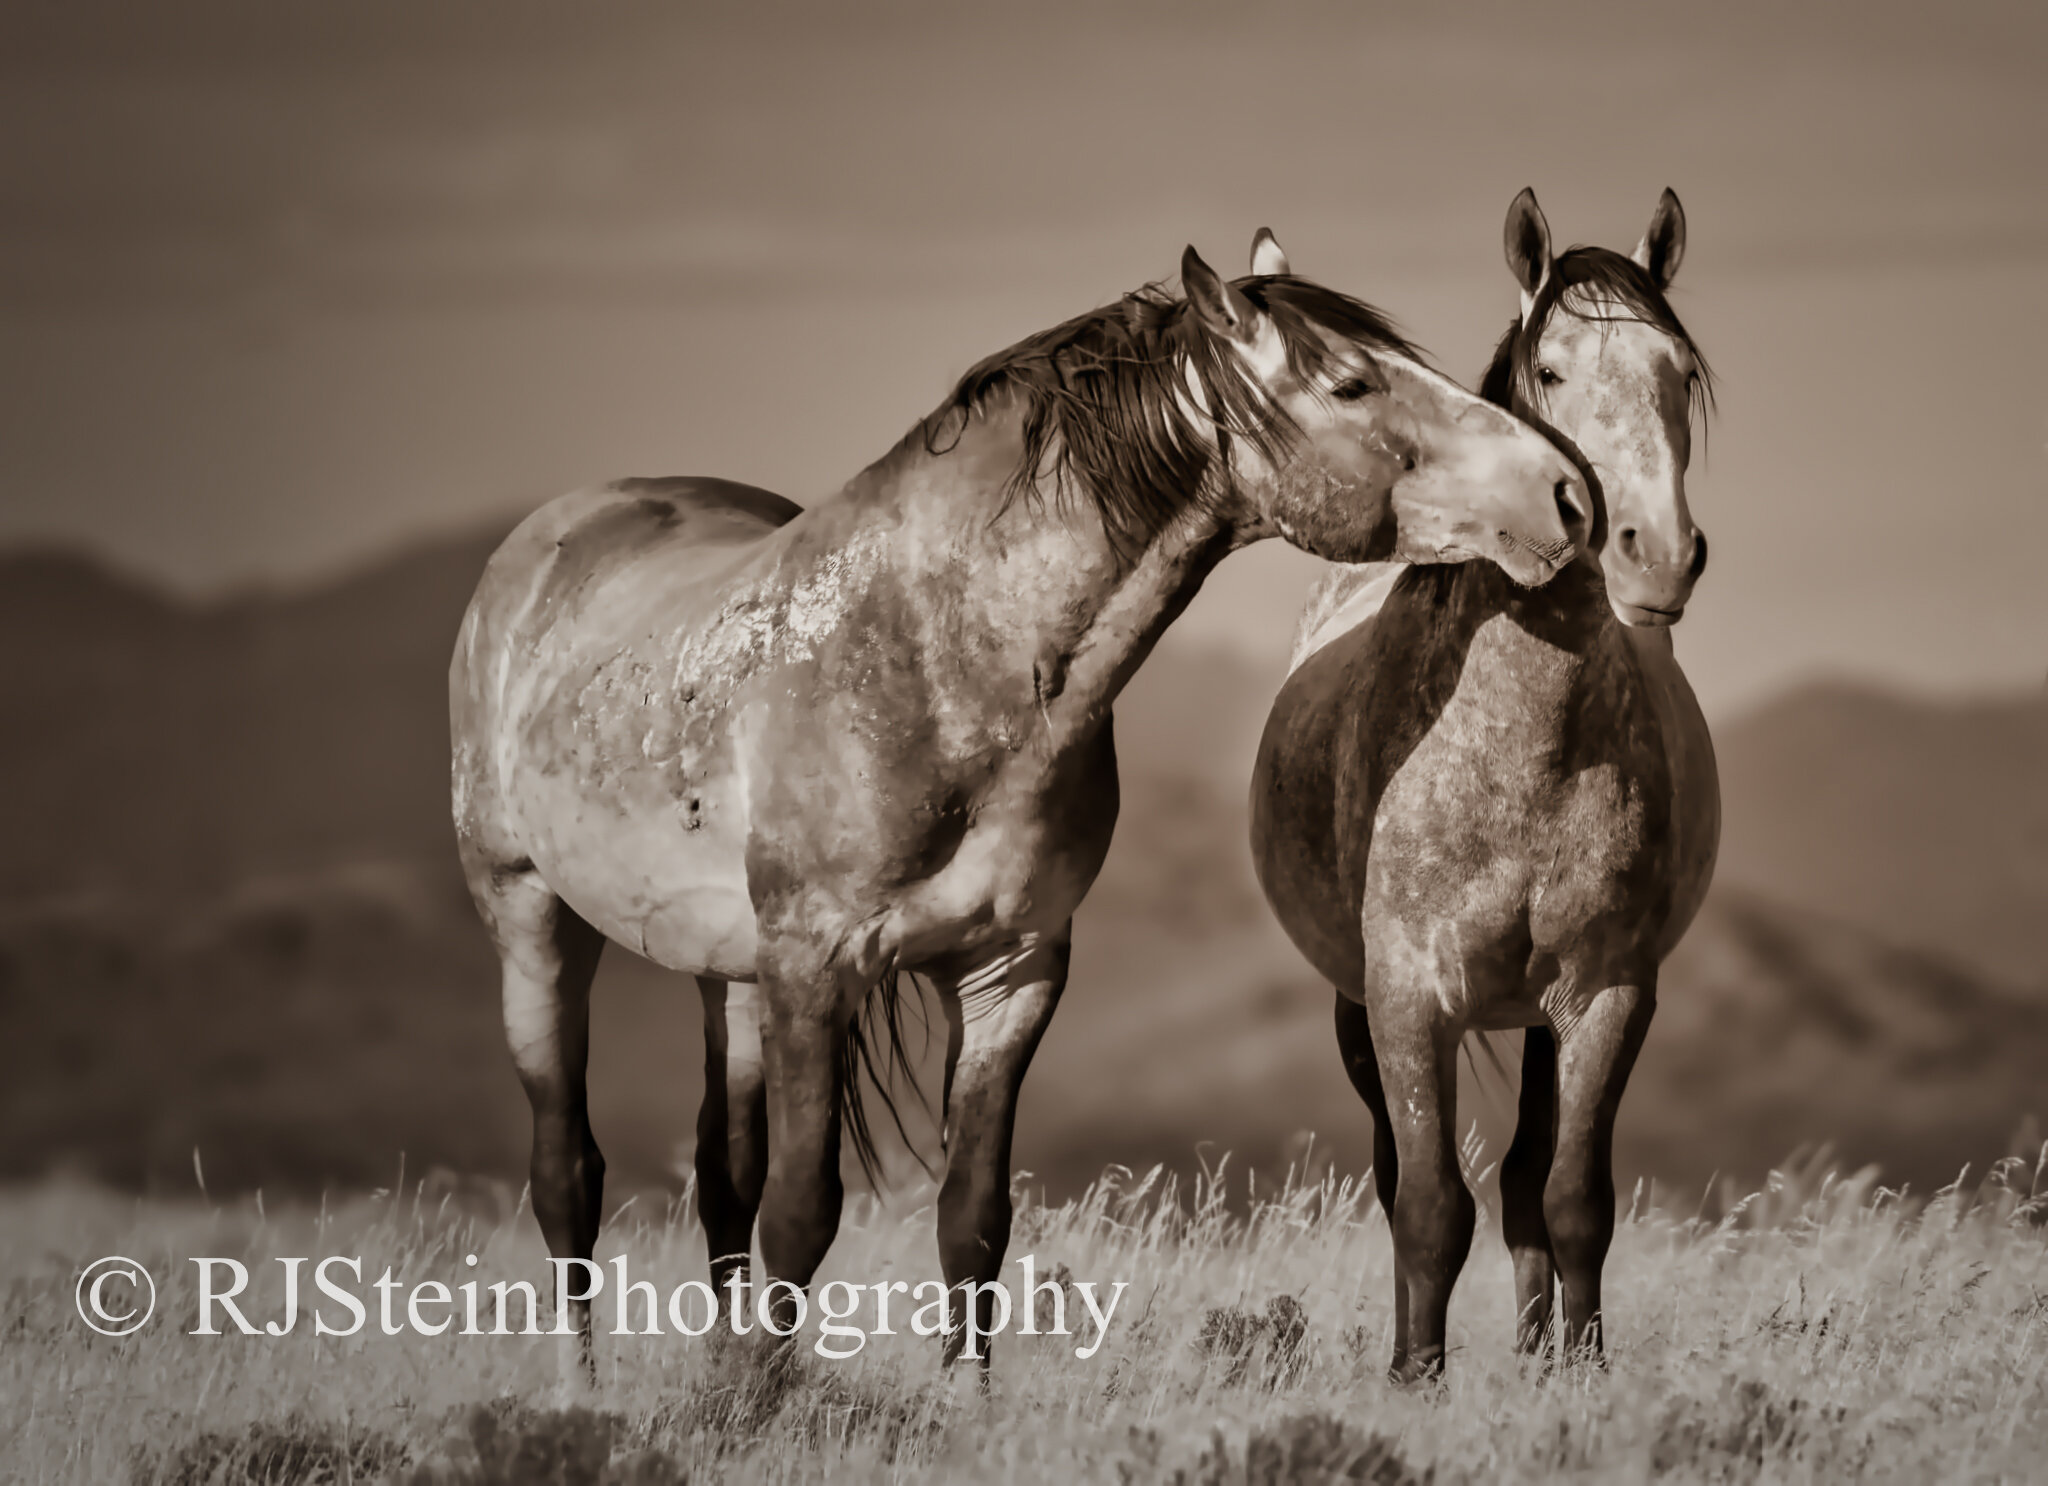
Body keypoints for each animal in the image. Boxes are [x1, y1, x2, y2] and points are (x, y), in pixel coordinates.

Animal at [456, 235, 1589, 1383]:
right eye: (1351, 382)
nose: (1565, 492)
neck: (939, 660)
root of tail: (560, 528)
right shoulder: (812, 968)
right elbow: (800, 1211)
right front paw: (762, 1404)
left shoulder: (1012, 968)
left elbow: (971, 1217)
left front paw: (957, 1396)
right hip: (530, 917)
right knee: (567, 1168)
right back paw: (582, 1385)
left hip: (722, 970)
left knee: (720, 1173)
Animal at [1245, 195, 1712, 1383]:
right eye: (1549, 369)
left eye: (1679, 370)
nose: (1656, 555)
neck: (1521, 756)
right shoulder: (1408, 997)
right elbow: (1426, 1206)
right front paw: (1415, 1376)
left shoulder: (1608, 993)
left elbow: (1573, 1198)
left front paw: (1579, 1372)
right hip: (1360, 1008)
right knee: (1409, 1181)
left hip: (1540, 1017)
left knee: (1526, 1185)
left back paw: (1539, 1350)